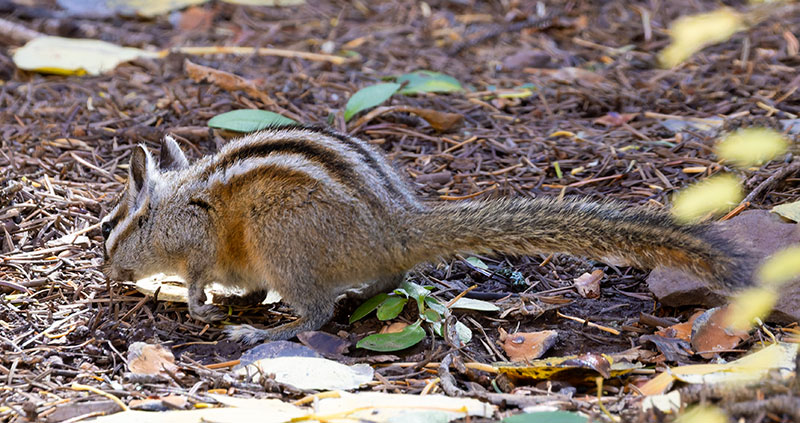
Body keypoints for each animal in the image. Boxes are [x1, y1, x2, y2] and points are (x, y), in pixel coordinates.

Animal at [100, 125, 752, 344]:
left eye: (107, 230)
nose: (106, 275)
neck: (171, 205)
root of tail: (396, 225)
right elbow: (245, 286)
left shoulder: (201, 242)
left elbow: (199, 278)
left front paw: (198, 303)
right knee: (385, 279)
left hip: (283, 241)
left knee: (318, 312)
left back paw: (267, 331)